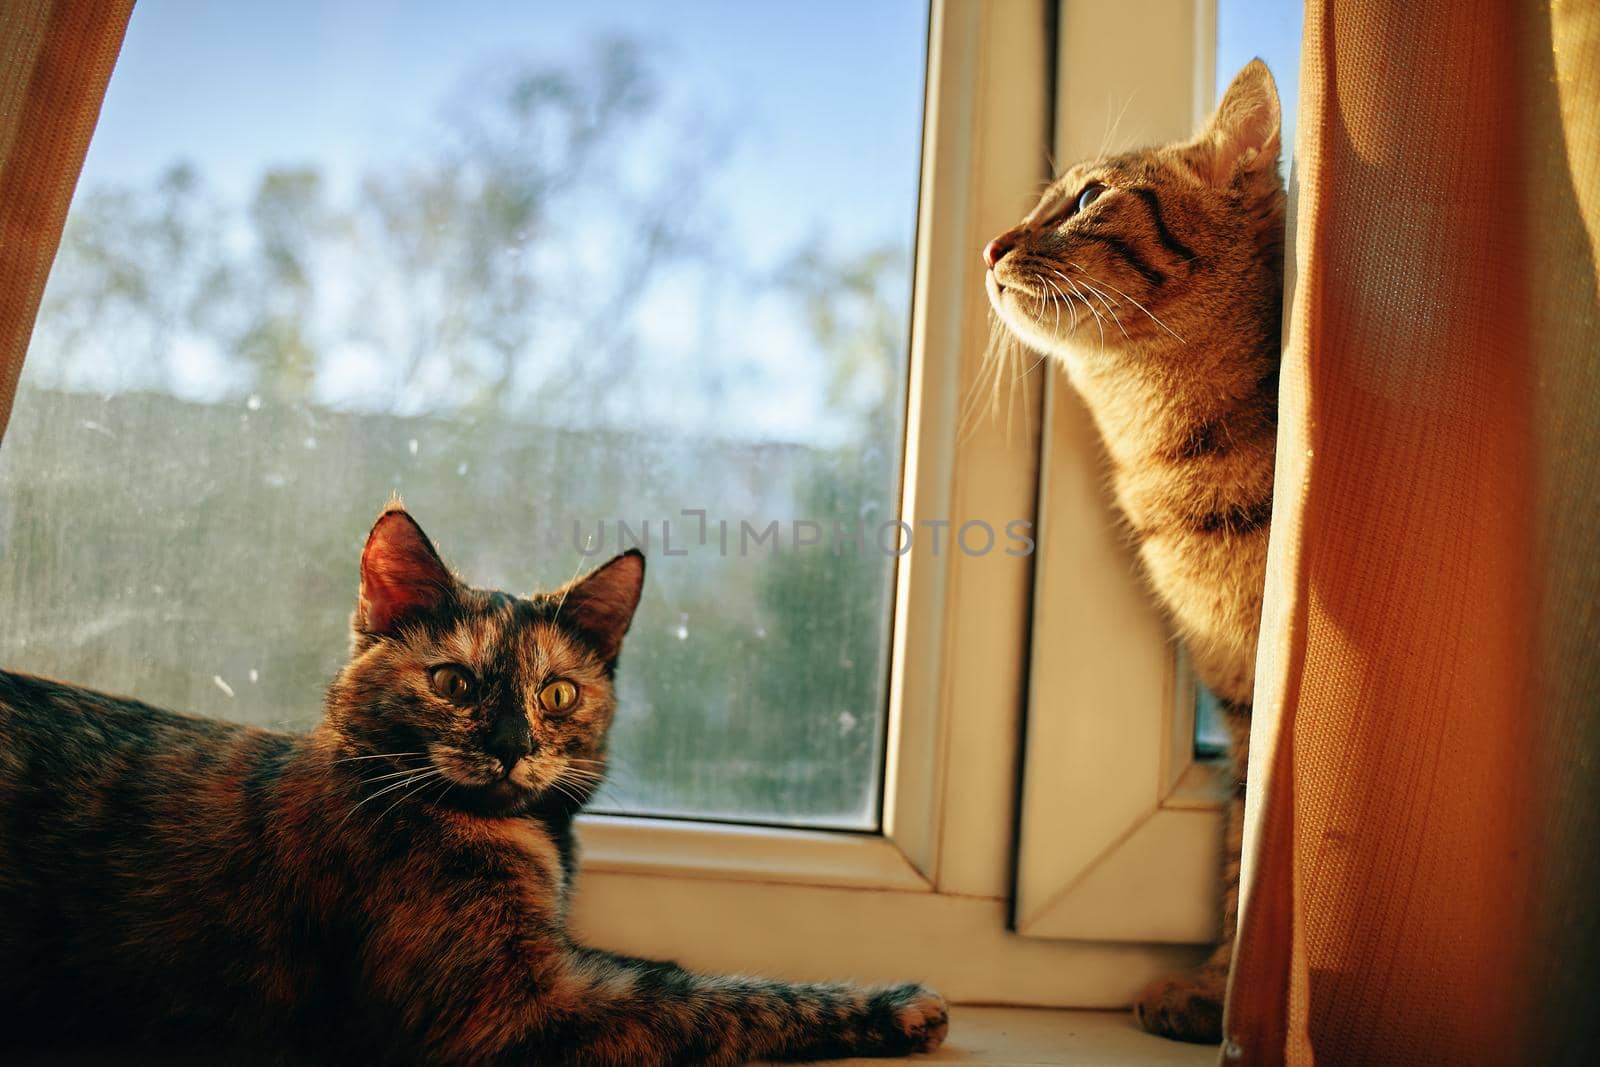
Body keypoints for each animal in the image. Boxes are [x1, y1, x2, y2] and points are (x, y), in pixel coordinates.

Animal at [0, 505, 947, 1062]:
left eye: (556, 693)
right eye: (453, 683)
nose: (512, 744)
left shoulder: (558, 970)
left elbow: (667, 968)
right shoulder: (513, 1010)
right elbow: (716, 996)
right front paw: (896, 1003)